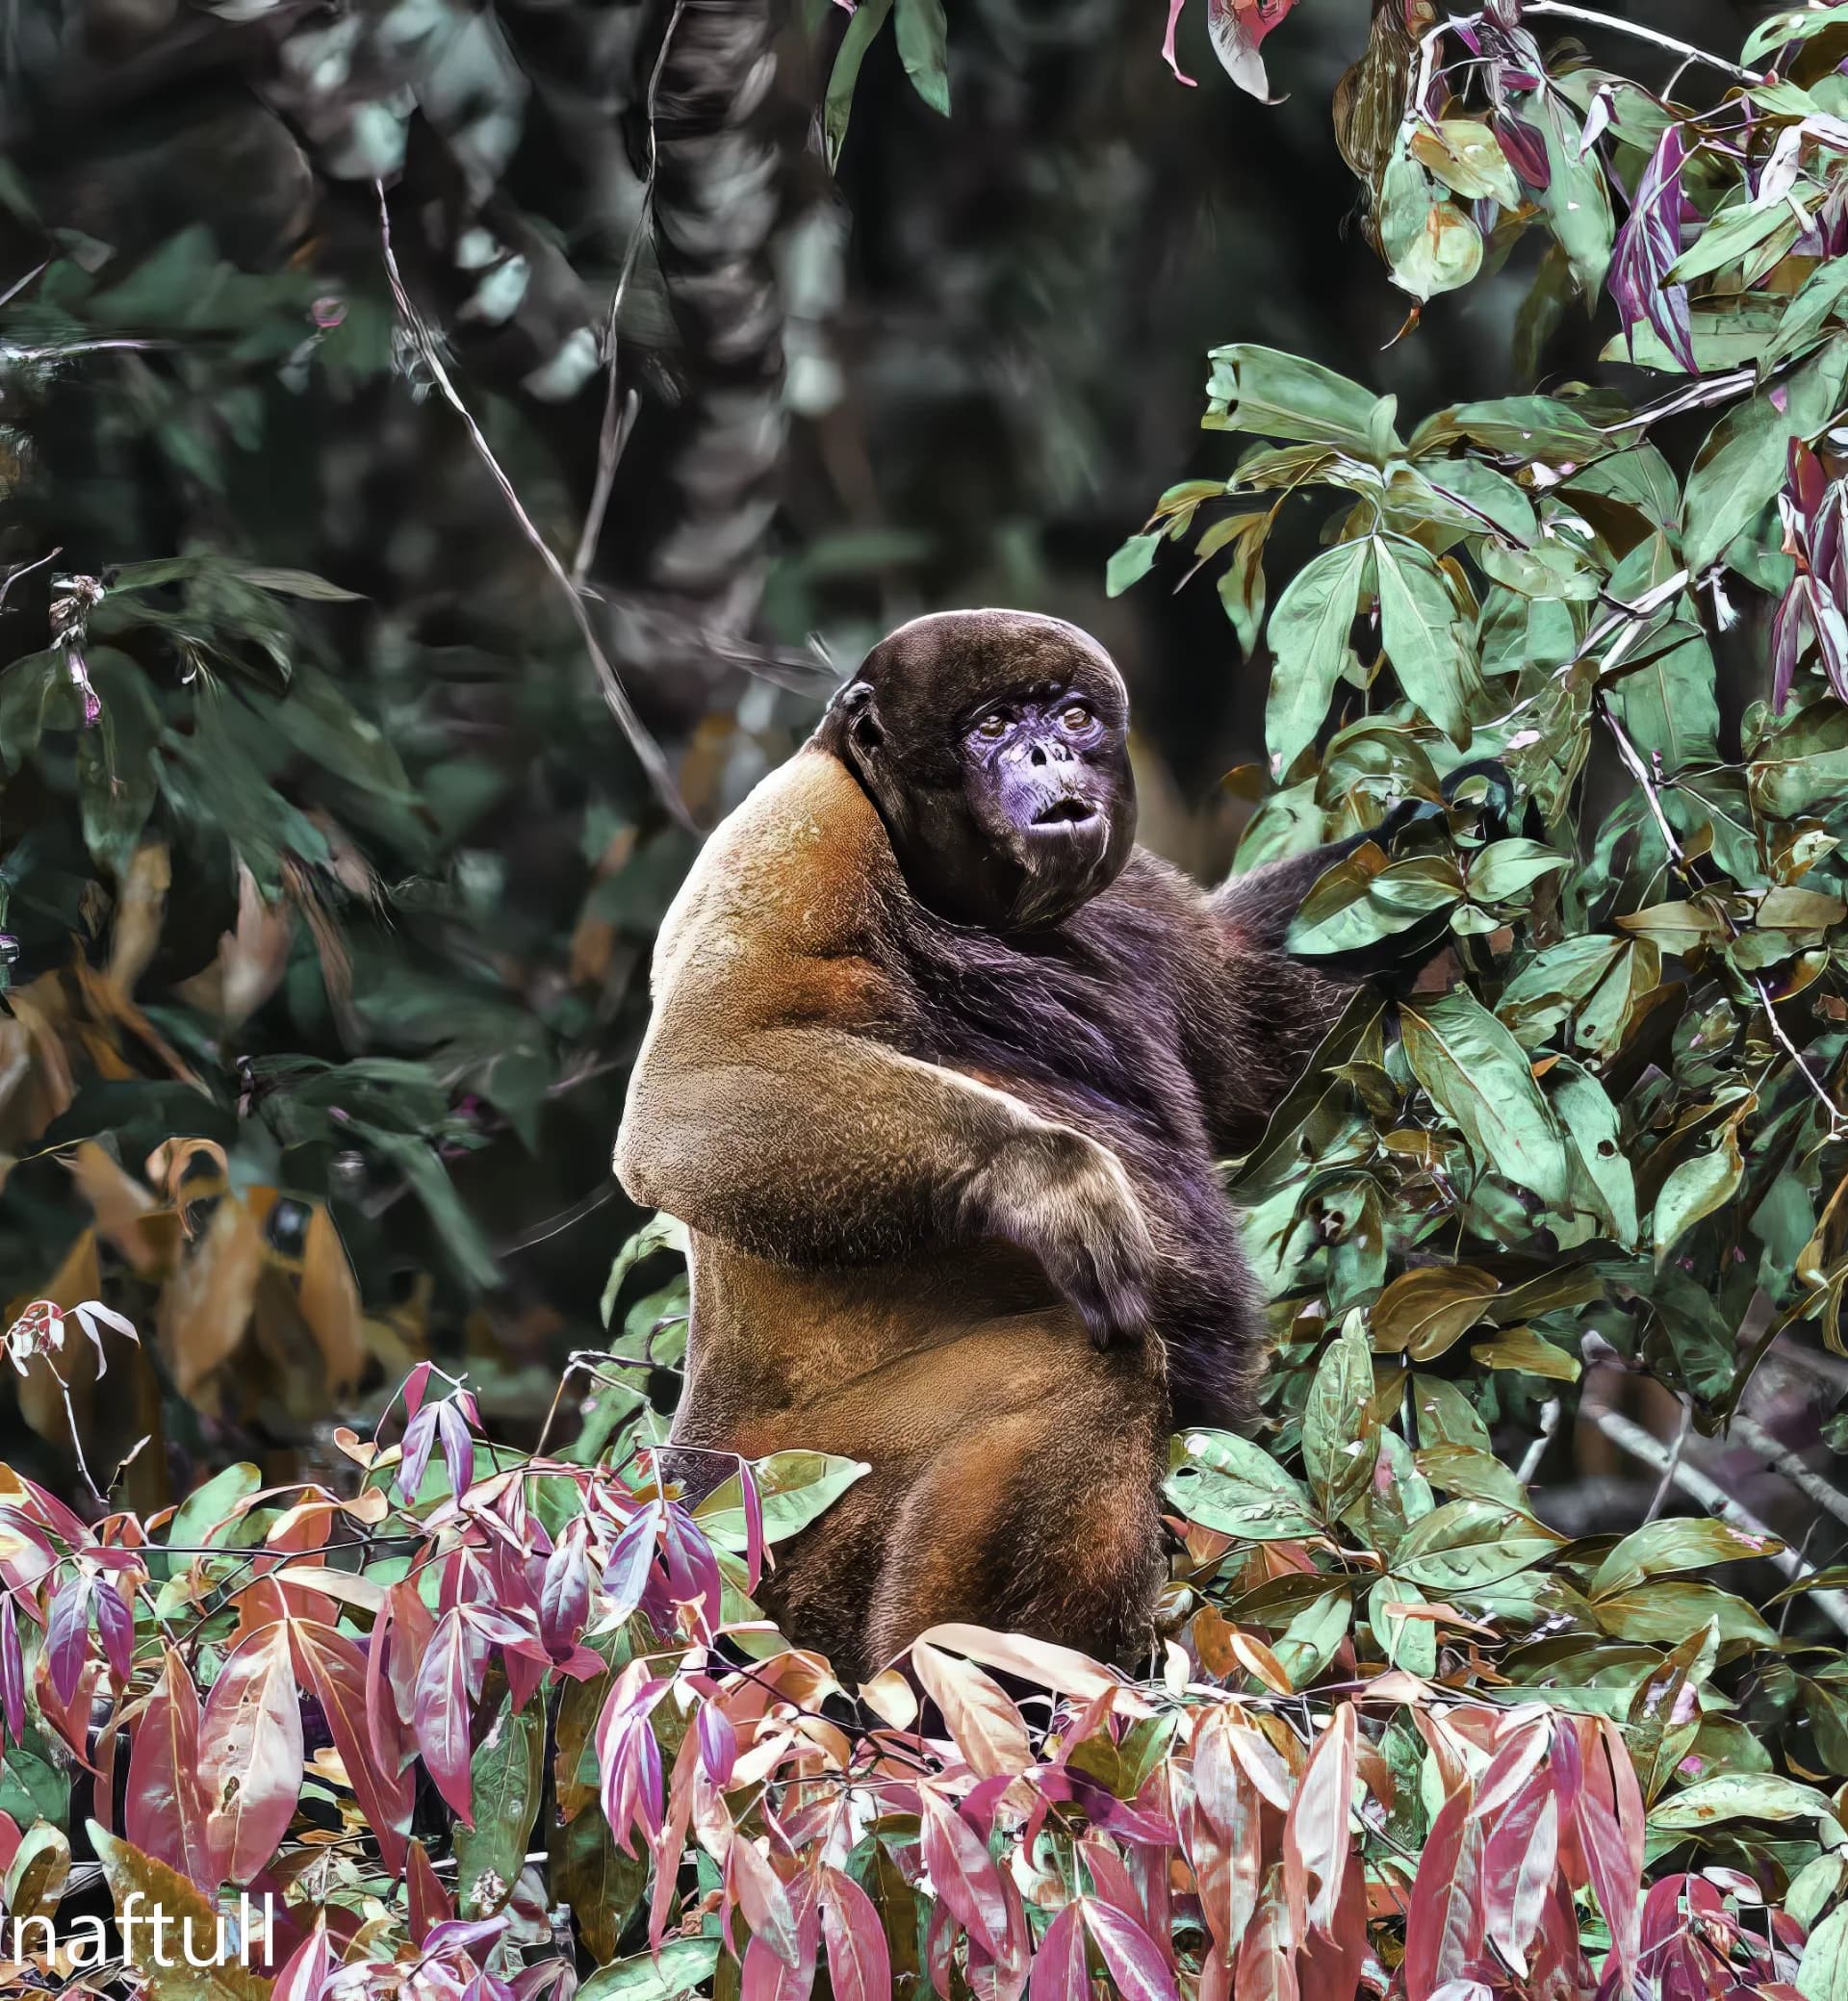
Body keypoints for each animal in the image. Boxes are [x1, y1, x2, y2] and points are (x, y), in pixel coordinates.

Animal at [614, 608, 1448, 1679]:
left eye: (1075, 715)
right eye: (994, 725)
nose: (1050, 753)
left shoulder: (1133, 893)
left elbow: (1252, 1047)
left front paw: (1449, 828)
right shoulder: (801, 828)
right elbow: (688, 1086)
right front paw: (1047, 1180)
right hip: (770, 1523)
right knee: (1090, 1373)